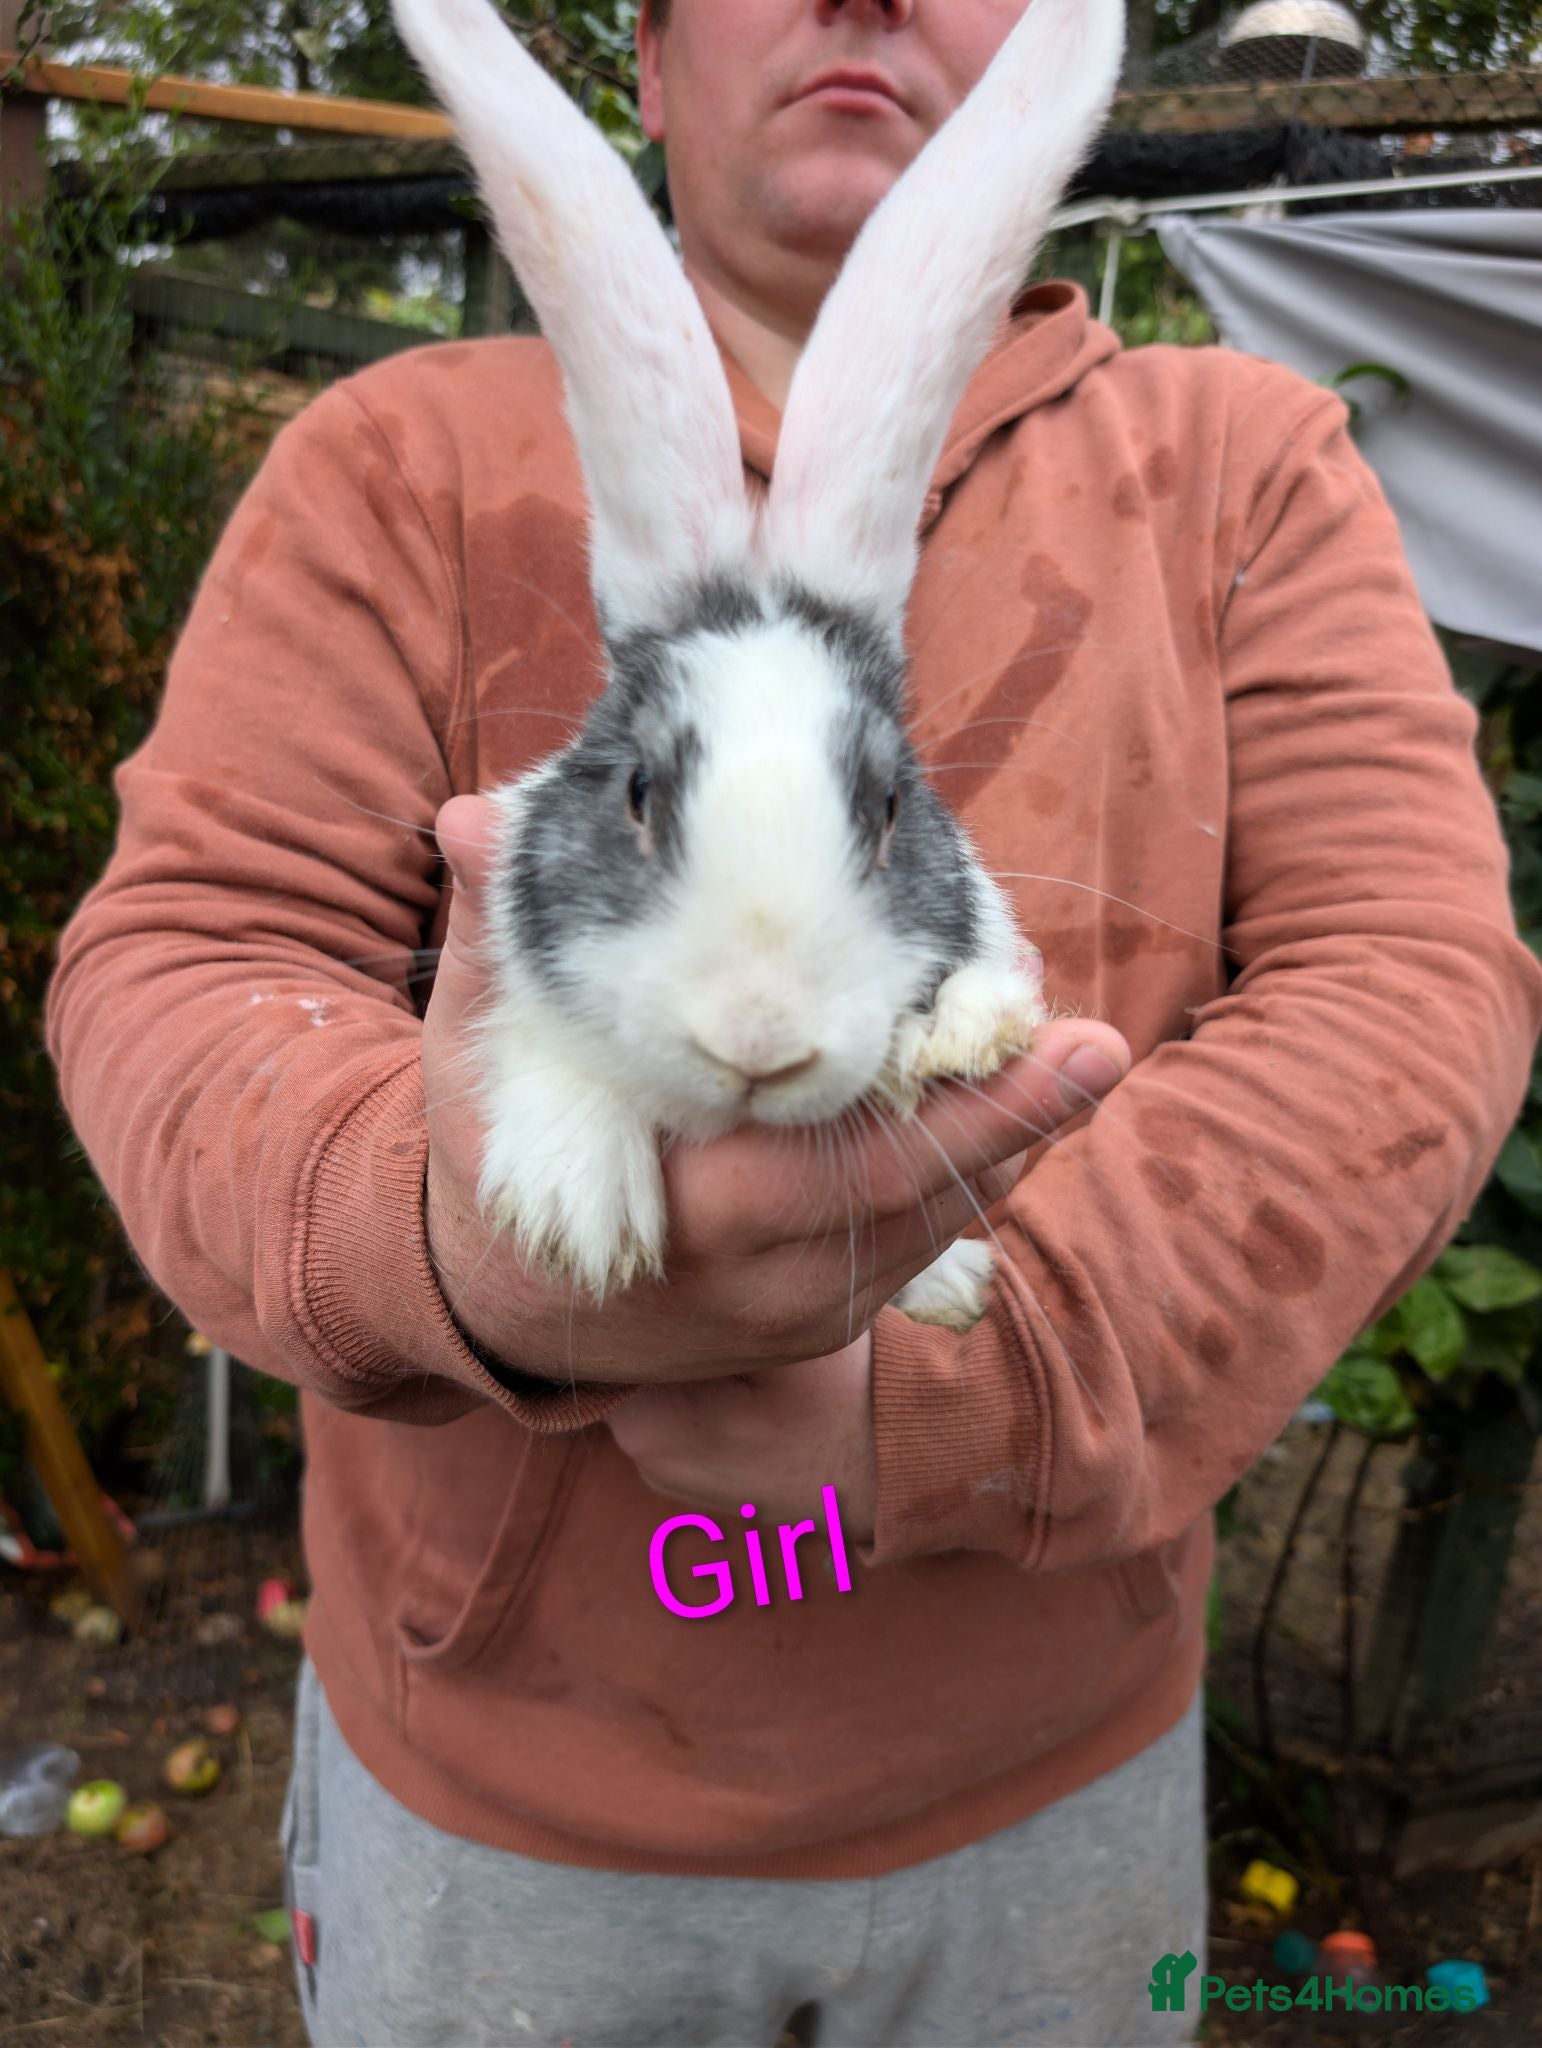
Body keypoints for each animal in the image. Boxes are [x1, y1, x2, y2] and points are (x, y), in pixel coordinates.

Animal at [391, 0, 1126, 1327]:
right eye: (636, 791)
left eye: (890, 809)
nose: (757, 1040)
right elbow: (541, 1050)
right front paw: (578, 1214)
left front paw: (965, 1036)